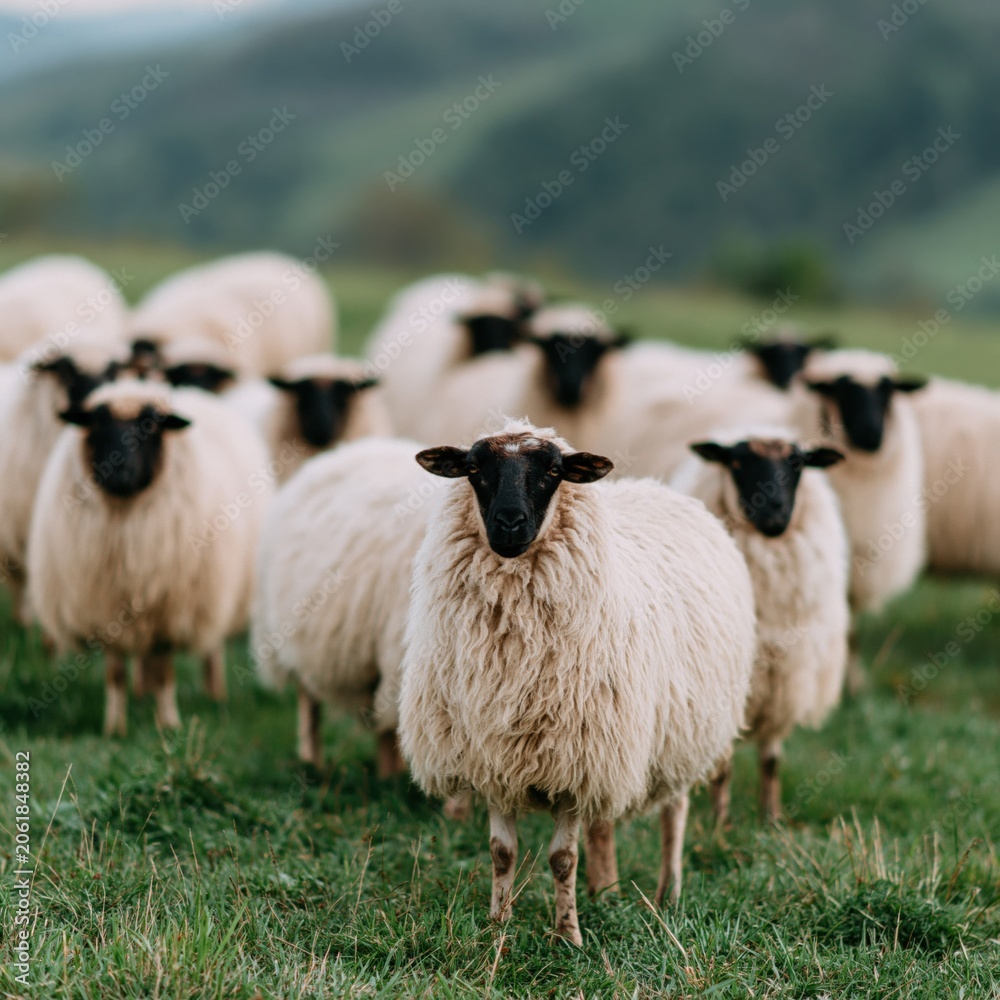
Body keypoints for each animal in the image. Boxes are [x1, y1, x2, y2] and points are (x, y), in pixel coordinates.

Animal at [27, 380, 274, 735]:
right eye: (96, 423)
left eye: (152, 426)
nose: (119, 470)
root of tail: (194, 393)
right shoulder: (104, 604)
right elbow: (116, 673)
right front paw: (115, 728)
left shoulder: (170, 609)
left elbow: (165, 671)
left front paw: (169, 724)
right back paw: (141, 692)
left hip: (214, 589)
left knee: (210, 646)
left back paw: (215, 692)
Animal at [398, 420, 756, 944]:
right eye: (473, 468)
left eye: (552, 471)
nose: (508, 523)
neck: (516, 650)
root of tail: (661, 490)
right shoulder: (494, 757)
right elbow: (501, 853)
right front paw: (497, 926)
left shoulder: (575, 758)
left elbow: (562, 858)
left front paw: (568, 935)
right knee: (605, 824)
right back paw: (603, 891)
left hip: (682, 731)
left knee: (675, 813)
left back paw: (669, 894)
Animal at [671, 426, 849, 822]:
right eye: (737, 462)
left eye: (797, 462)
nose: (774, 508)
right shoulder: (726, 688)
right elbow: (723, 767)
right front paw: (720, 824)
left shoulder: (783, 679)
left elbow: (771, 760)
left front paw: (772, 818)